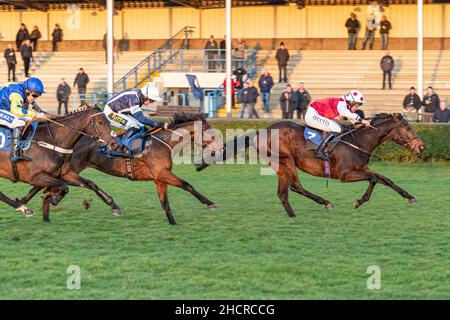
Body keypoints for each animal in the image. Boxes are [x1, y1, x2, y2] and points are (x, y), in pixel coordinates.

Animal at [18, 112, 219, 225]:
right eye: (208, 132)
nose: (220, 149)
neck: (163, 142)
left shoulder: (159, 178)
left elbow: (165, 202)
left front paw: (172, 223)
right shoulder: (162, 173)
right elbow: (187, 185)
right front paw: (210, 203)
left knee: (44, 186)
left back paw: (38, 209)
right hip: (71, 168)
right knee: (47, 186)